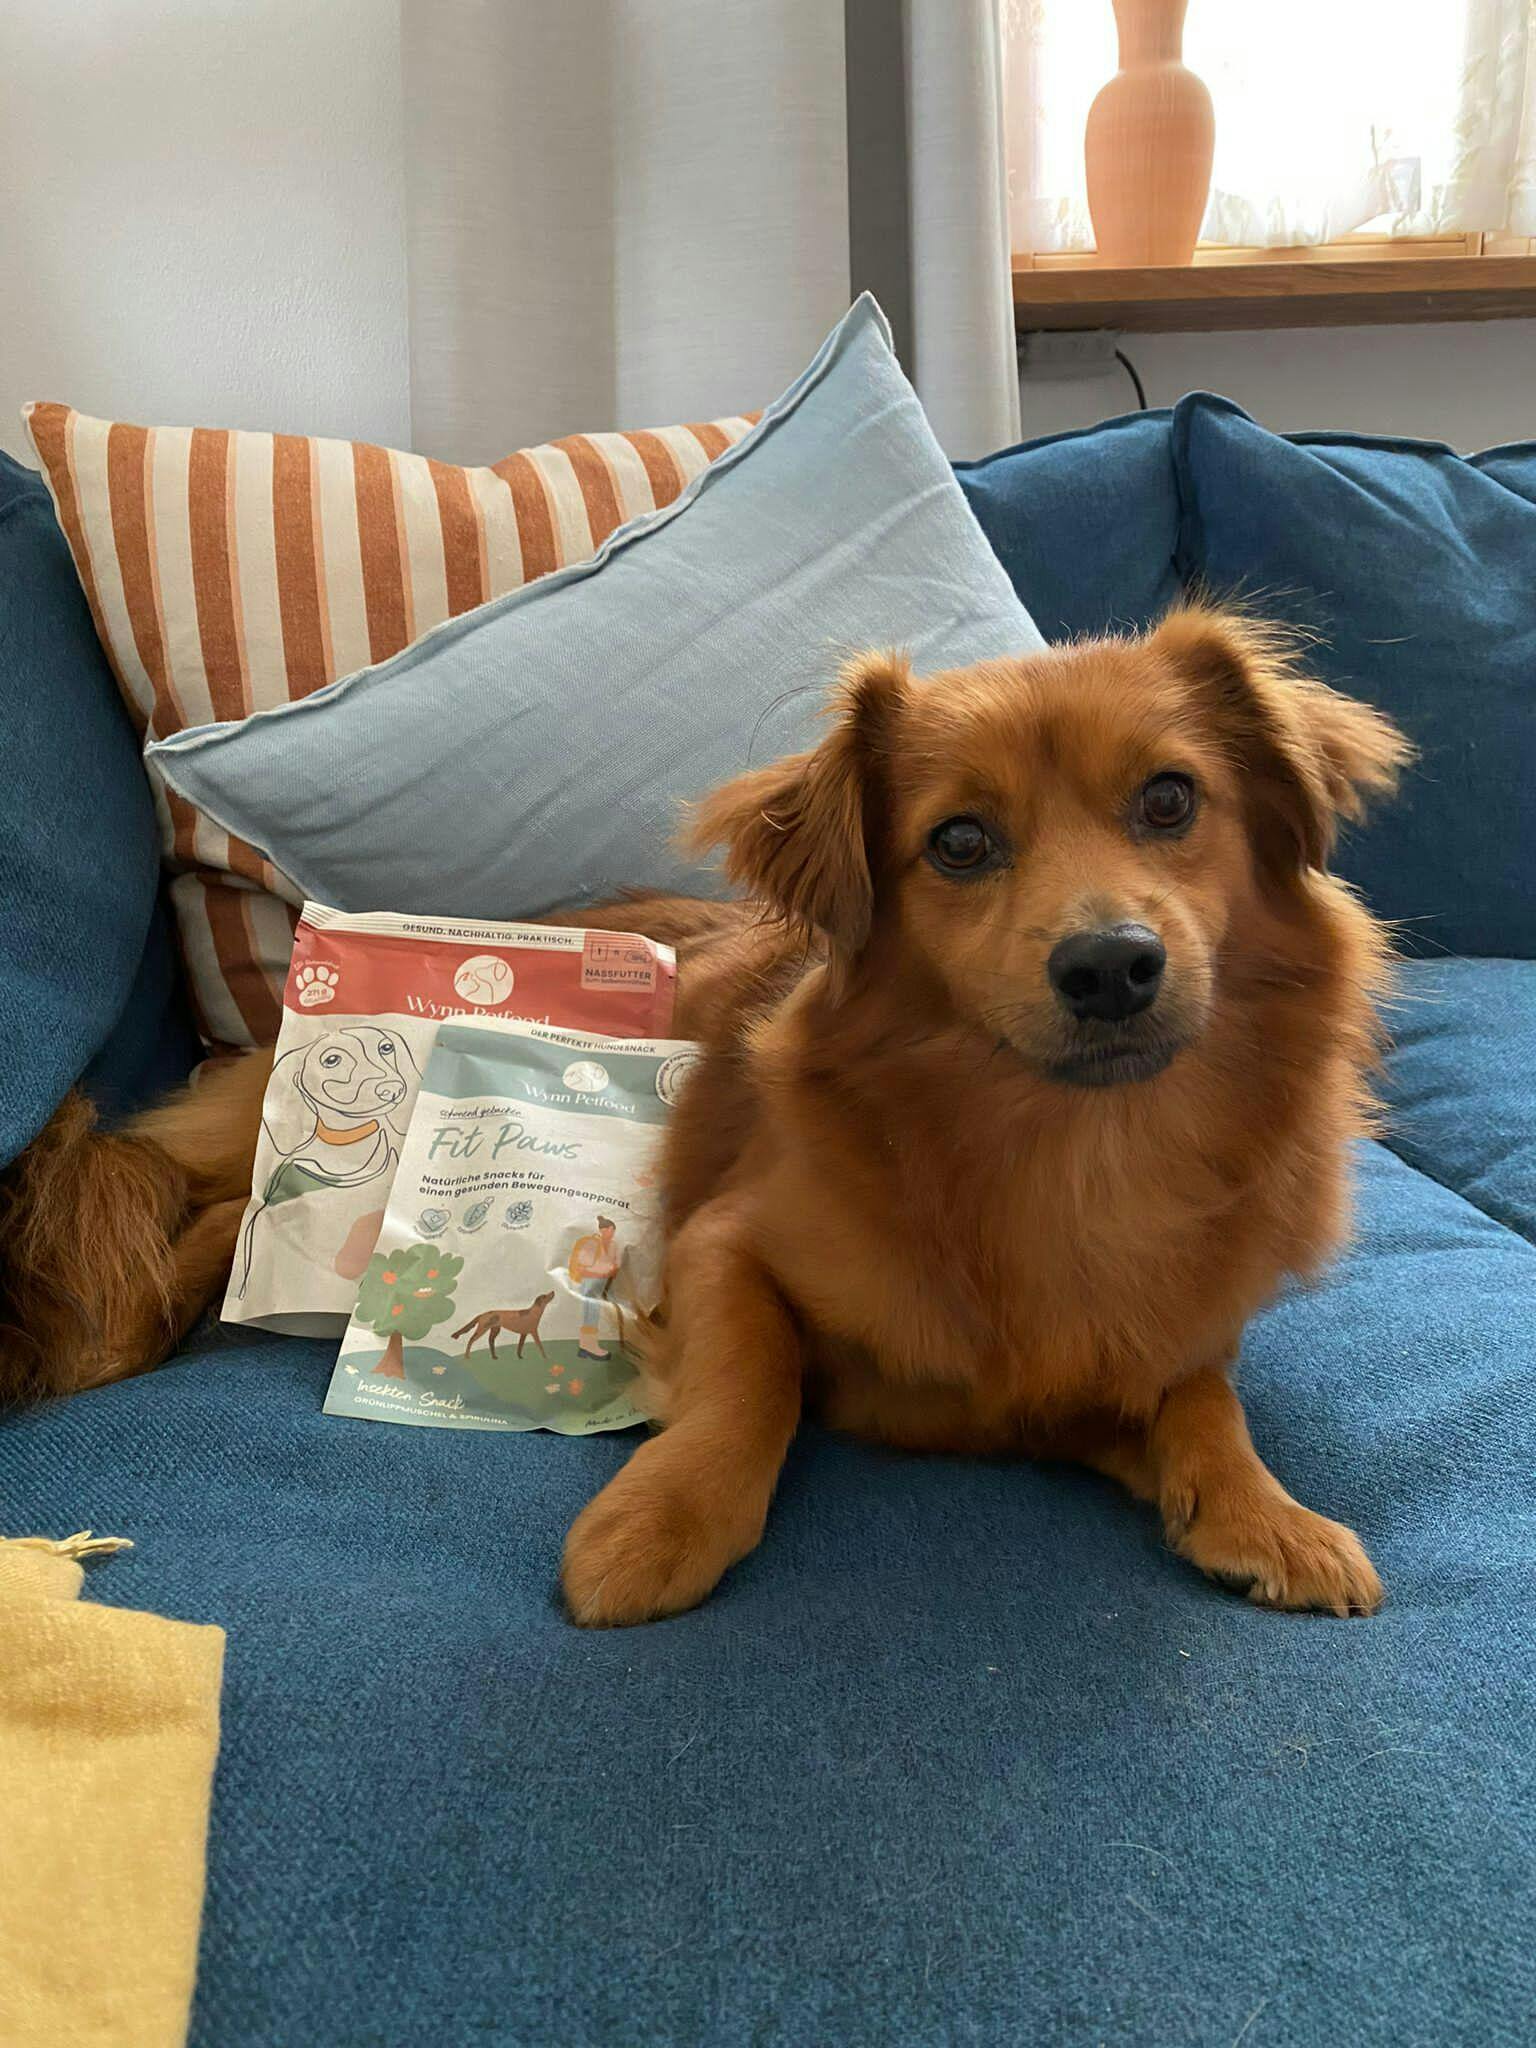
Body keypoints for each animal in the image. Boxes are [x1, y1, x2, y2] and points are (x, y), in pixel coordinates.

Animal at [0, 608, 1409, 1631]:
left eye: (1170, 800)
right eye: (958, 841)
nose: (1111, 964)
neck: (1070, 1156)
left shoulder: (1116, 1363)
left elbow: (1200, 1396)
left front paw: (1263, 1512)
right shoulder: (726, 1241)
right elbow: (753, 1379)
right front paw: (664, 1517)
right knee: (198, 1222)